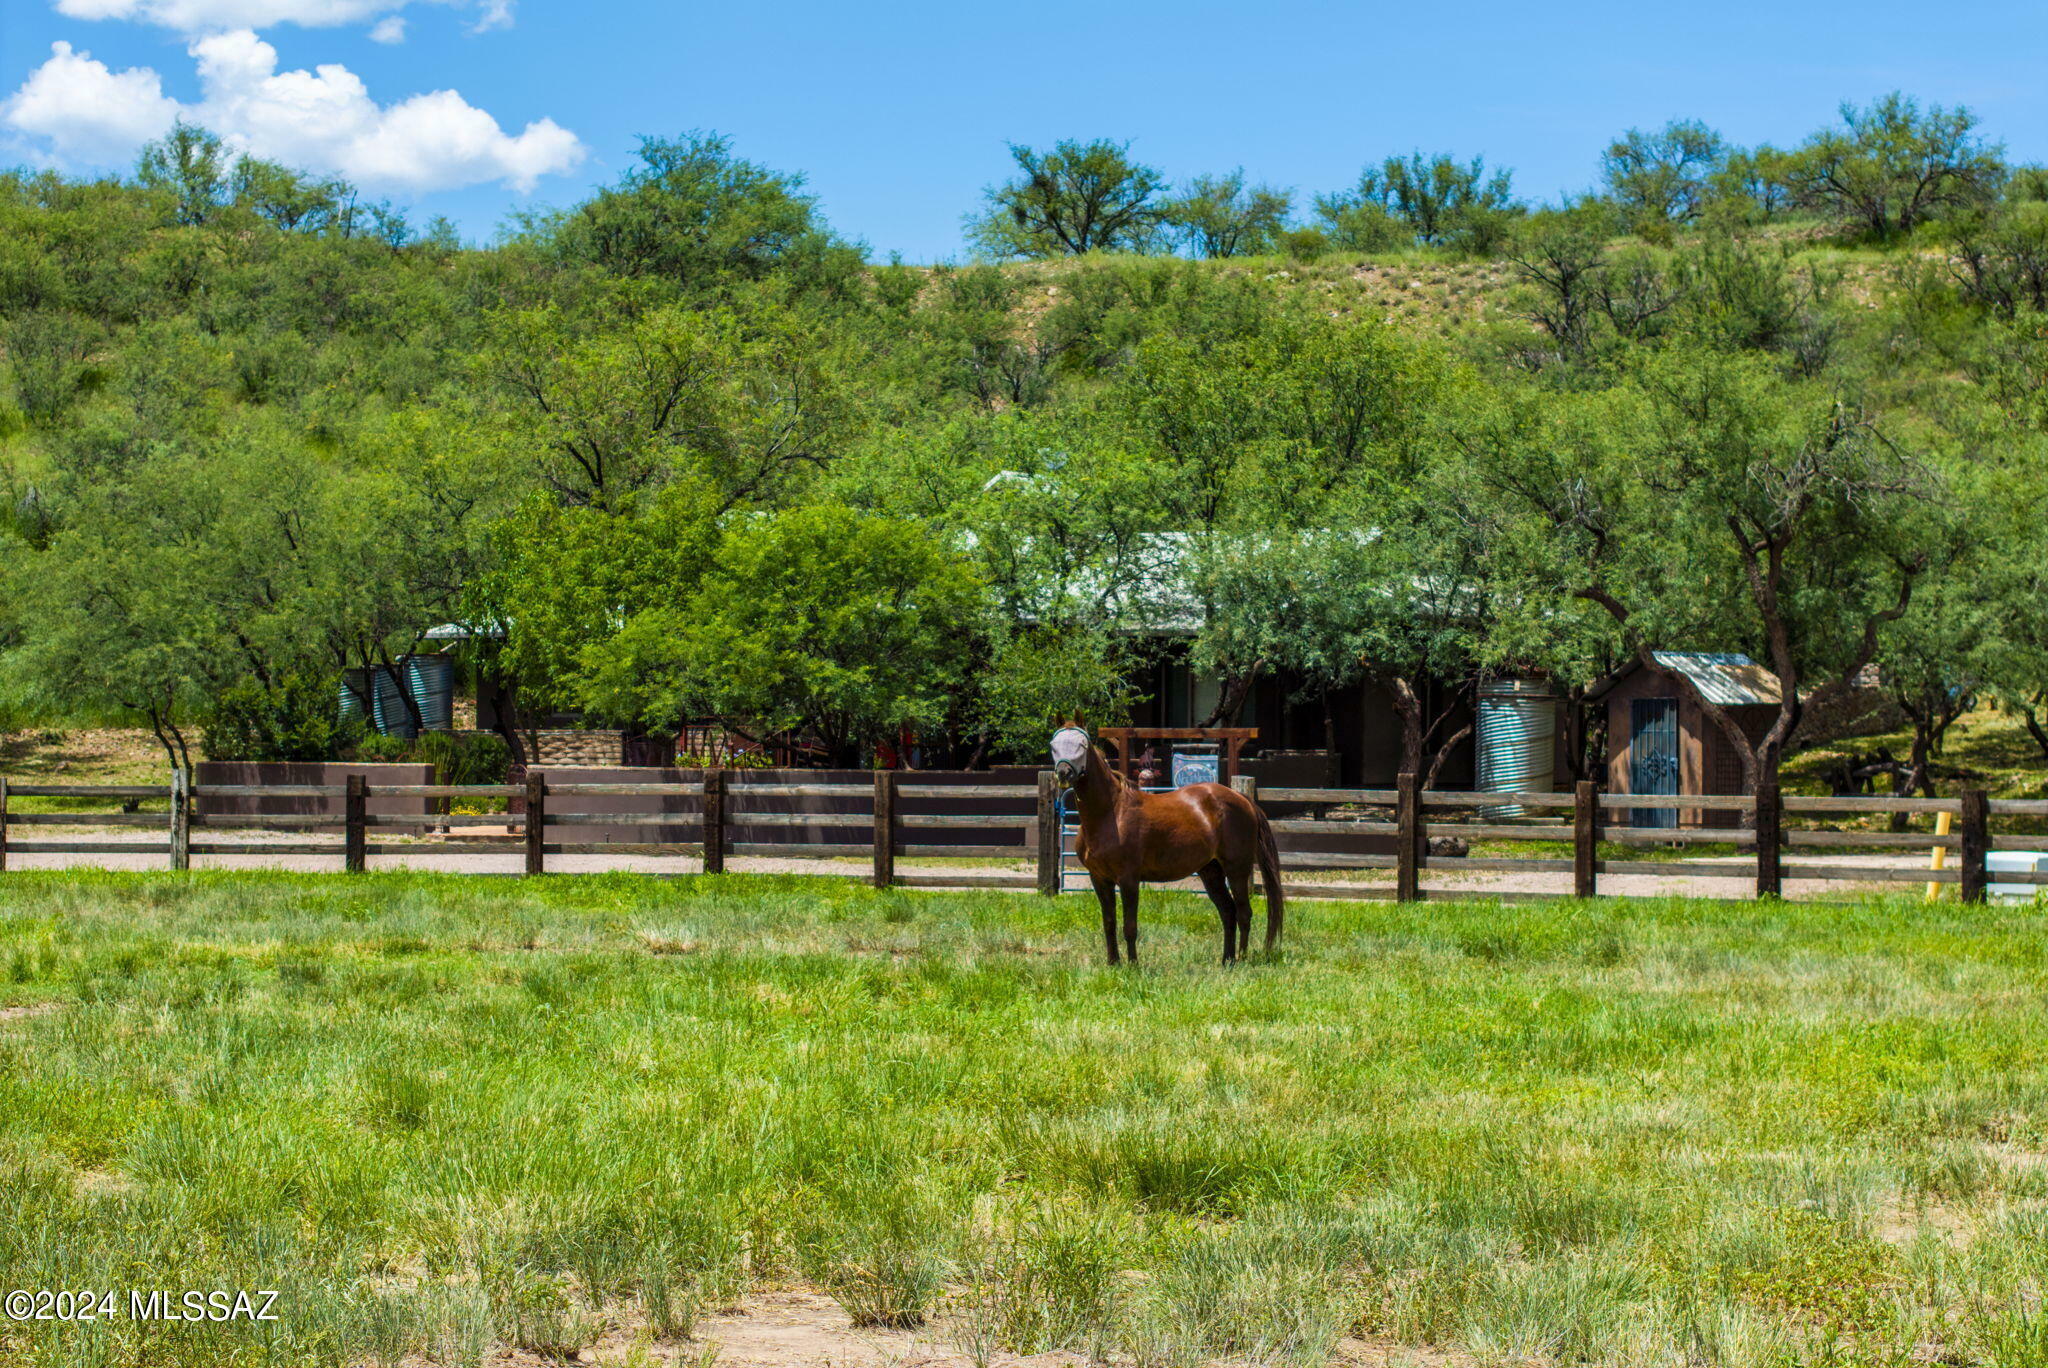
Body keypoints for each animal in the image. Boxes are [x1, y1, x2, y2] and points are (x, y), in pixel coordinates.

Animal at [1048, 720, 1286, 966]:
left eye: (1082, 745)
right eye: (1053, 745)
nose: (1063, 773)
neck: (1111, 813)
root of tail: (1243, 799)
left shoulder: (1128, 879)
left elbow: (1130, 927)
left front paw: (1133, 965)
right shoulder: (1099, 879)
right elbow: (1109, 923)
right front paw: (1113, 963)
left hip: (1237, 869)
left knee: (1243, 913)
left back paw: (1241, 958)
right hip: (1211, 871)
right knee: (1228, 912)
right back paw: (1226, 960)